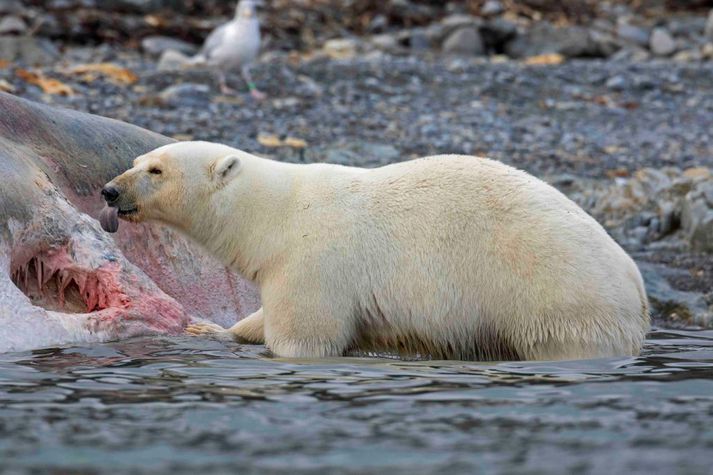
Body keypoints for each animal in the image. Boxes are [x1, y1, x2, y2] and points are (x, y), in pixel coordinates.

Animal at [103, 141, 648, 360]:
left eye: (155, 170)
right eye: (137, 160)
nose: (110, 191)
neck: (275, 215)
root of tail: (634, 279)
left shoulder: (313, 262)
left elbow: (304, 334)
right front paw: (206, 328)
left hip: (556, 296)